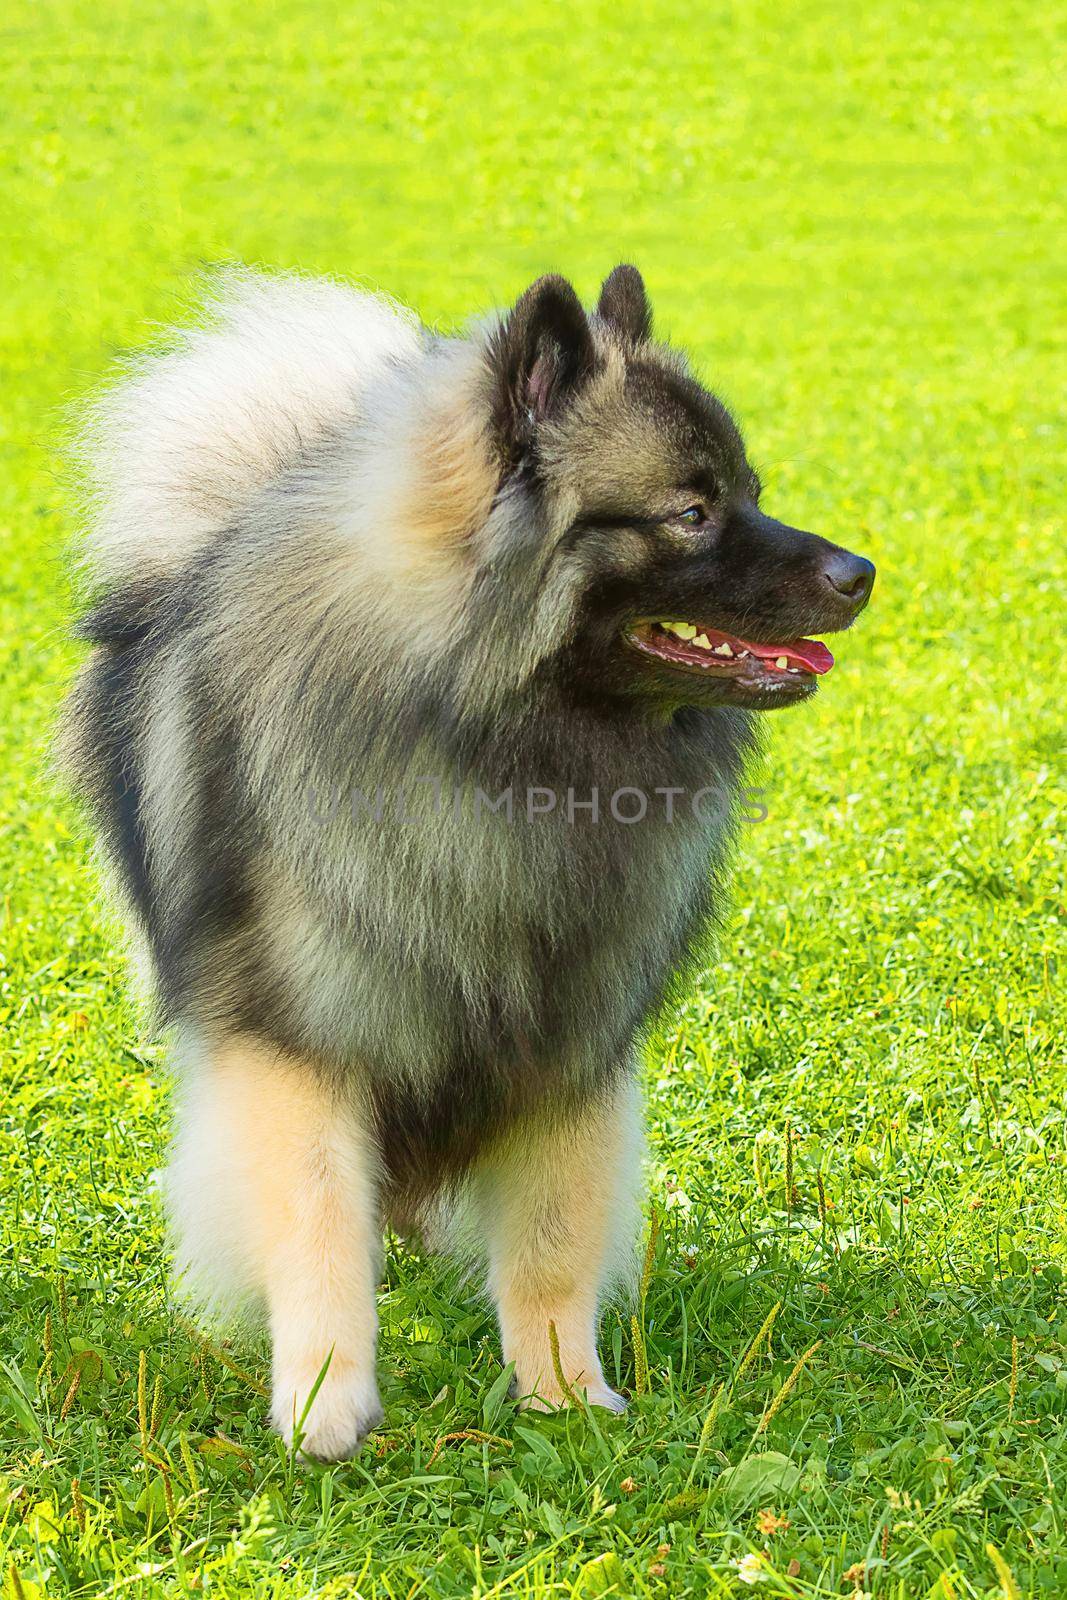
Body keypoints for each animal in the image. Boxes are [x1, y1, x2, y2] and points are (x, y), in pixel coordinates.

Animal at [60, 265, 876, 1465]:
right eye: (691, 511)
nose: (860, 572)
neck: (494, 742)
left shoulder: (568, 1046)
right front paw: (323, 1401)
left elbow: (550, 1242)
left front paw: (563, 1393)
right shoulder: (299, 1039)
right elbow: (317, 1224)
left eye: (751, 491)